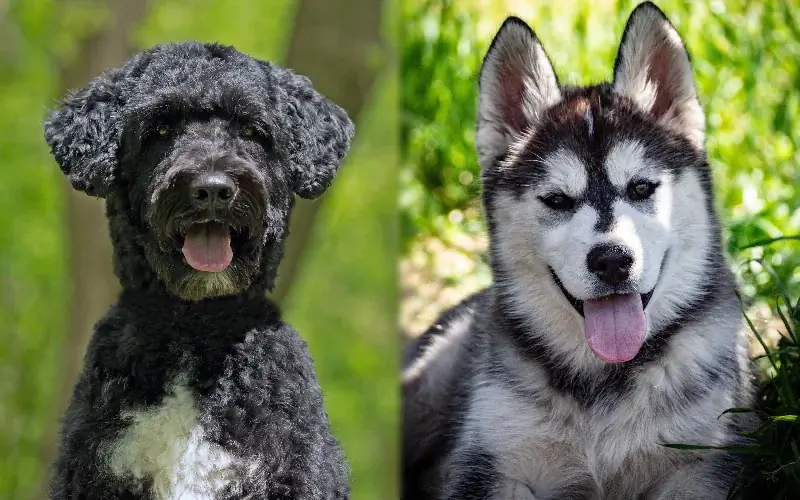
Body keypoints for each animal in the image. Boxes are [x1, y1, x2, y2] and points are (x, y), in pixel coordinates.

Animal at [406, 3, 756, 500]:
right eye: (557, 200)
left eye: (641, 188)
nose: (612, 261)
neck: (604, 383)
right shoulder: (493, 464)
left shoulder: (703, 463)